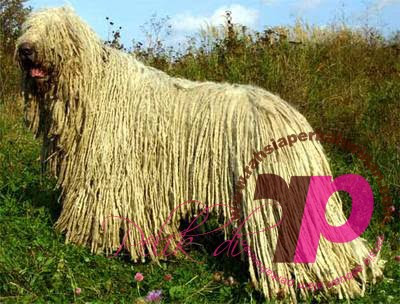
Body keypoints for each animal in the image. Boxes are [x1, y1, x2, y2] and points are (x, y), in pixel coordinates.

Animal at [15, 6, 382, 302]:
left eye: (55, 30)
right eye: (29, 26)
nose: (25, 49)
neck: (93, 88)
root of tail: (293, 120)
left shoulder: (108, 176)